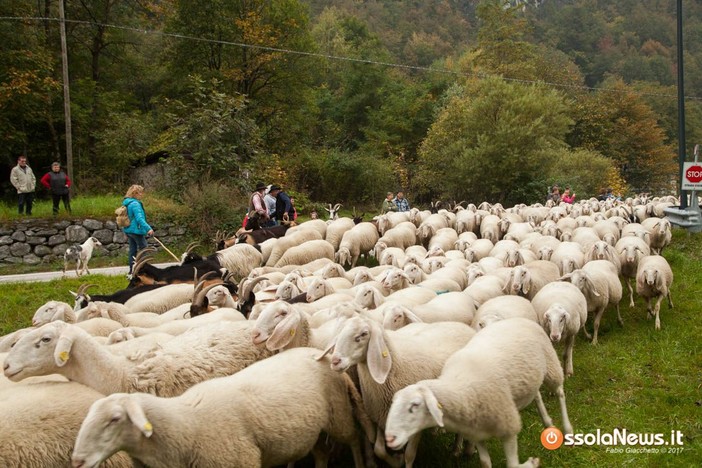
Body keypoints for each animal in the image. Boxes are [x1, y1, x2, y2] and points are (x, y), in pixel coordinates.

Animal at [71, 348, 374, 468]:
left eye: (114, 419)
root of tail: (318, 353)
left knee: (354, 438)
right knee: (321, 453)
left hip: (338, 415)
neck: (186, 427)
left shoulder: (242, 460)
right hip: (314, 428)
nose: (77, 461)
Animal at [320, 316, 476, 466]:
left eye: (363, 334)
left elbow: (409, 455)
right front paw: (396, 459)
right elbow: (379, 449)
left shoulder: (415, 423)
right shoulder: (381, 415)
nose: (335, 361)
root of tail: (462, 325)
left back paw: (457, 450)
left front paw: (402, 458)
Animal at [388, 316, 576, 466]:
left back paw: (567, 430)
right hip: (529, 378)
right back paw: (548, 422)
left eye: (414, 405)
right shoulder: (476, 432)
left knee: (560, 392)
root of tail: (518, 318)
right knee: (536, 395)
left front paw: (532, 462)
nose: (389, 439)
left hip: (551, 366)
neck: (461, 388)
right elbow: (485, 463)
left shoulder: (508, 426)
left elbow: (513, 465)